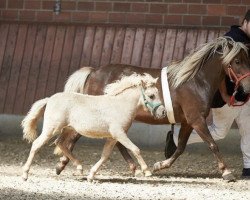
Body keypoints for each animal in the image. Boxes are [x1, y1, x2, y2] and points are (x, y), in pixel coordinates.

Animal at [22, 73, 166, 181]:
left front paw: (91, 175)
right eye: (151, 96)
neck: (120, 105)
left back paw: (79, 168)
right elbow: (136, 149)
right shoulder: (119, 134)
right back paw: (25, 174)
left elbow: (105, 155)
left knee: (60, 143)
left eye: (158, 93)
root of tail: (49, 99)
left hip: (68, 129)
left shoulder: (113, 138)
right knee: (36, 144)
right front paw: (146, 171)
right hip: (51, 129)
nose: (163, 112)